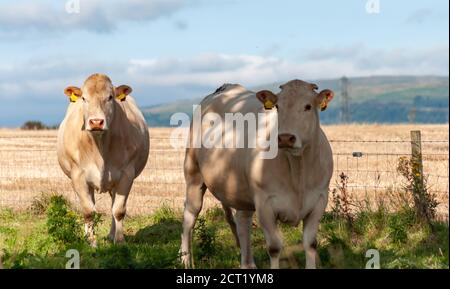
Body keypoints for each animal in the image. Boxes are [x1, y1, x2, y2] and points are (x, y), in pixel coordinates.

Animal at [56, 73, 149, 244]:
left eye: (110, 97)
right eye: (84, 98)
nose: (96, 122)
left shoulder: (126, 174)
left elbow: (118, 210)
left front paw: (119, 241)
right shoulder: (78, 176)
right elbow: (88, 211)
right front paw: (91, 242)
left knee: (113, 205)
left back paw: (112, 235)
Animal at [180, 79, 334, 268]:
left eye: (308, 106)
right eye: (277, 107)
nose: (285, 138)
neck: (298, 170)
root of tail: (225, 88)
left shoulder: (319, 199)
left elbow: (310, 244)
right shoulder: (264, 203)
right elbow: (274, 248)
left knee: (242, 221)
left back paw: (247, 263)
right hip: (193, 174)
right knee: (190, 215)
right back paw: (185, 259)